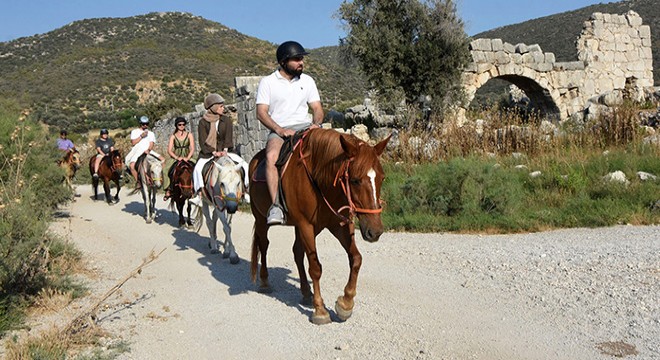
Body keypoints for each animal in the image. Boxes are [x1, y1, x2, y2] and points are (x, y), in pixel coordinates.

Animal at [250, 128, 390, 324]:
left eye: (382, 178)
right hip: (262, 219)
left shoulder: (336, 225)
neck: (318, 178)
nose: (375, 231)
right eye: (355, 180)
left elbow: (356, 259)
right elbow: (315, 268)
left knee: (297, 252)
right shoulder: (306, 225)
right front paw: (320, 310)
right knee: (264, 246)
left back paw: (306, 292)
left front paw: (346, 304)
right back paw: (264, 282)